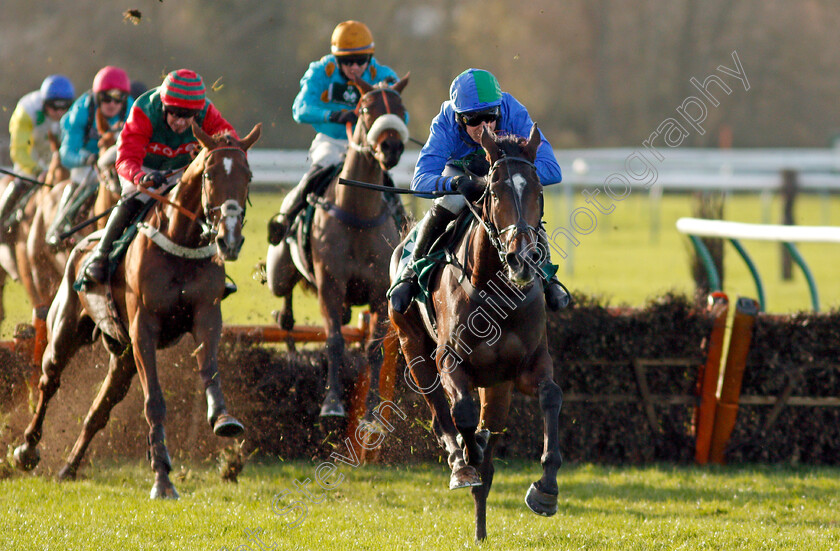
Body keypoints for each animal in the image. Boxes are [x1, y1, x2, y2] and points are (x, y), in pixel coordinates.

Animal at [13, 122, 260, 500]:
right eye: (209, 174)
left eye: (248, 175)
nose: (229, 239)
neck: (181, 242)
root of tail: (83, 243)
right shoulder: (144, 327)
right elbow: (154, 400)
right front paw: (162, 477)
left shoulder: (206, 315)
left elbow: (210, 368)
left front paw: (222, 418)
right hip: (66, 330)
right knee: (49, 380)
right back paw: (27, 450)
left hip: (124, 357)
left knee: (99, 410)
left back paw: (69, 468)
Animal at [266, 74, 410, 418]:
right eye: (366, 107)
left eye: (401, 108)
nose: (391, 147)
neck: (358, 215)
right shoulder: (330, 284)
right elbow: (333, 341)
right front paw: (331, 403)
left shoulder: (378, 291)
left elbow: (372, 348)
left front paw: (371, 408)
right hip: (281, 273)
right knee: (286, 306)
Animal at [388, 126, 560, 544]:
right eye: (495, 192)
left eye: (538, 191)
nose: (522, 259)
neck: (496, 291)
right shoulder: (449, 359)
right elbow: (462, 412)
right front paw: (468, 457)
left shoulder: (529, 364)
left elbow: (551, 395)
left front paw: (546, 489)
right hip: (412, 346)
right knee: (440, 413)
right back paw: (461, 461)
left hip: (497, 385)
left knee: (489, 441)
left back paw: (482, 524)